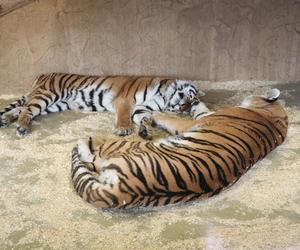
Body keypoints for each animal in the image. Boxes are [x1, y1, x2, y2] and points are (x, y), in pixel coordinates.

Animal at [0, 72, 207, 139]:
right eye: (189, 98)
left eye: (190, 107)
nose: (182, 106)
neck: (163, 96)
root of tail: (43, 75)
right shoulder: (125, 100)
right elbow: (124, 116)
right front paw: (123, 130)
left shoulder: (141, 108)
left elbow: (144, 118)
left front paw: (146, 130)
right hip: (48, 95)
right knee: (27, 109)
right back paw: (21, 127)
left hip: (54, 104)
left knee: (23, 108)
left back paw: (6, 119)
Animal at [71, 88, 288, 209]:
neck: (275, 119)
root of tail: (124, 192)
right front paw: (194, 100)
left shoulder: (195, 122)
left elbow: (170, 117)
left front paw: (156, 114)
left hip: (128, 146)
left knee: (92, 157)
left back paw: (83, 140)